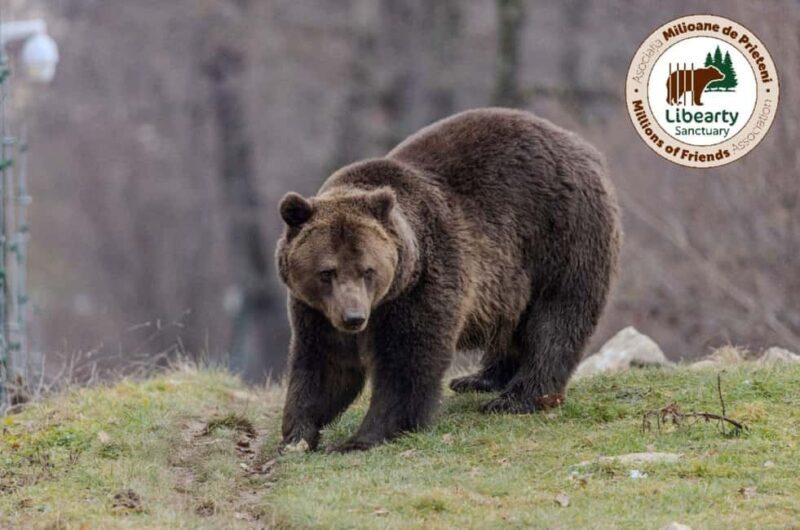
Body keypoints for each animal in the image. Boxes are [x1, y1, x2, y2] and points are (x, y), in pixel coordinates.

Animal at [276, 108, 621, 452]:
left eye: (368, 270)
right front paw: (297, 435)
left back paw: (517, 397)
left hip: (561, 234)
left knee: (556, 317)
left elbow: (408, 360)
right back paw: (478, 379)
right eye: (327, 272)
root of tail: (583, 147)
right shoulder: (317, 310)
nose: (353, 318)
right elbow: (326, 365)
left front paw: (361, 438)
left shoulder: (423, 282)